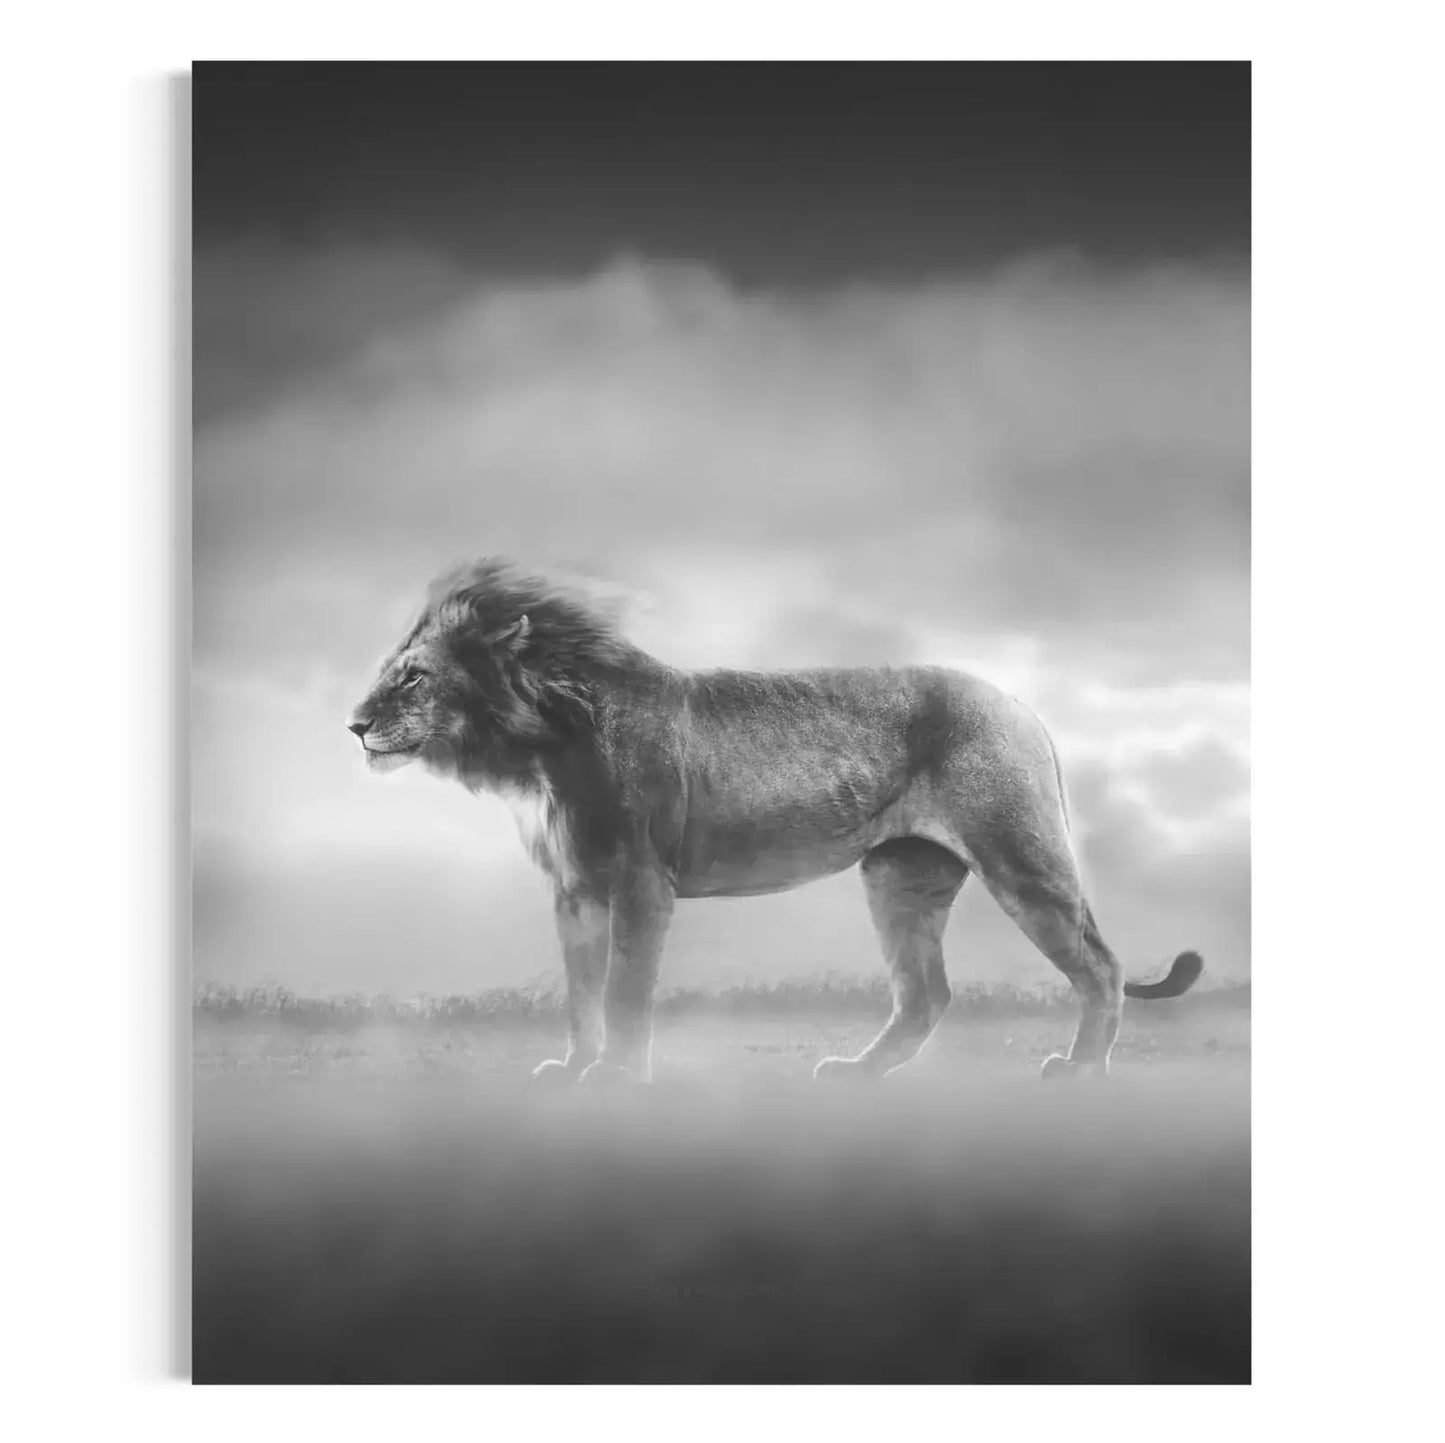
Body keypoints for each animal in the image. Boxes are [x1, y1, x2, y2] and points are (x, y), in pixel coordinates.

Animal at [347, 558, 1203, 1085]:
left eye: (413, 677)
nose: (353, 725)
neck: (540, 746)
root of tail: (1022, 706)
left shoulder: (639, 882)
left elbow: (622, 991)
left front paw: (617, 1076)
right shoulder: (574, 890)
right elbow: (580, 994)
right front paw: (574, 1067)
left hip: (1020, 857)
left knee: (1100, 965)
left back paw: (1081, 1069)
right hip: (900, 877)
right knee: (925, 992)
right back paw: (858, 1075)